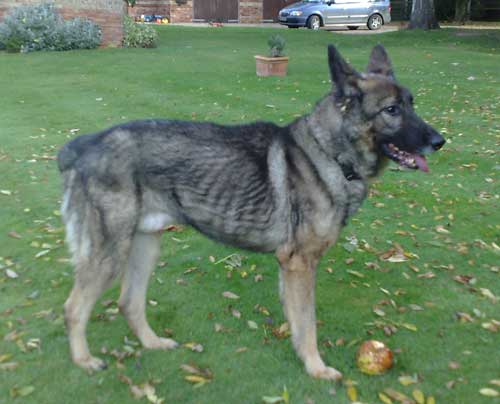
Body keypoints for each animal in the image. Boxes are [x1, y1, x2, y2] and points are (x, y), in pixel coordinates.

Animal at [58, 45, 446, 380]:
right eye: (392, 110)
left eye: (412, 103)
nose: (440, 141)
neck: (330, 154)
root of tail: (87, 144)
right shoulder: (300, 265)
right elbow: (308, 323)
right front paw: (317, 369)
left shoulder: (290, 268)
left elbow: (297, 322)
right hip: (110, 254)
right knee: (74, 308)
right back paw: (85, 361)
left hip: (145, 246)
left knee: (129, 302)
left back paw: (152, 343)